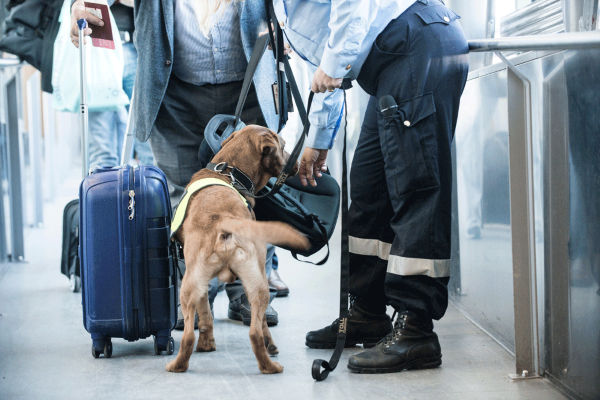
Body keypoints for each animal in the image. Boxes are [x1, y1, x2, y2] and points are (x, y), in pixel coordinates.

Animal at [168, 125, 310, 376]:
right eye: (284, 145)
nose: (297, 162)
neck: (228, 172)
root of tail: (224, 219)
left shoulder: (200, 285)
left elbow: (205, 315)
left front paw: (207, 344)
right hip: (258, 283)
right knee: (256, 331)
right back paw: (270, 364)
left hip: (190, 286)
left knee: (187, 337)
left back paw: (177, 365)